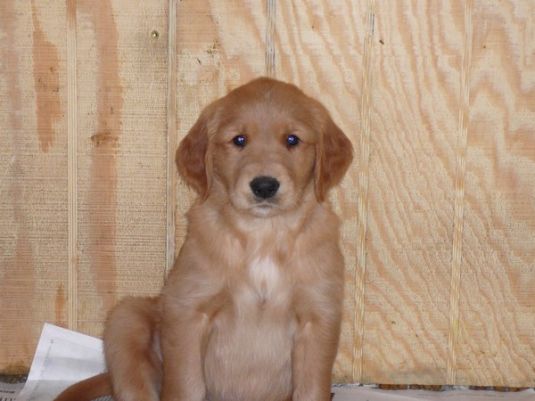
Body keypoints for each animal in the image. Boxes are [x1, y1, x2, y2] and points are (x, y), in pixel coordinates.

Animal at [54, 77, 354, 400]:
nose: (264, 186)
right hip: (126, 319)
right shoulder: (188, 310)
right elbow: (187, 385)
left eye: (292, 140)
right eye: (239, 140)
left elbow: (312, 388)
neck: (264, 235)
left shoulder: (318, 316)